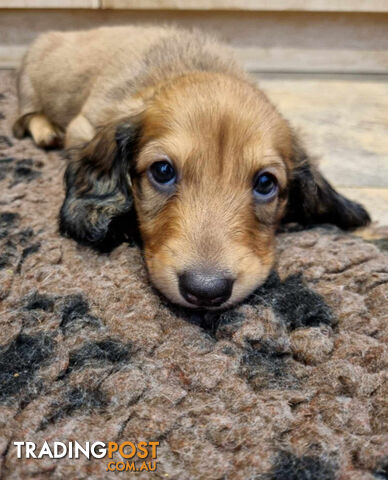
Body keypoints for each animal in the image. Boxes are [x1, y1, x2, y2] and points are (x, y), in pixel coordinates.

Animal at [12, 26, 370, 310]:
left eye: (266, 183)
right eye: (162, 171)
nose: (206, 291)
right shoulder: (83, 126)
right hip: (29, 85)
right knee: (25, 116)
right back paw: (45, 130)